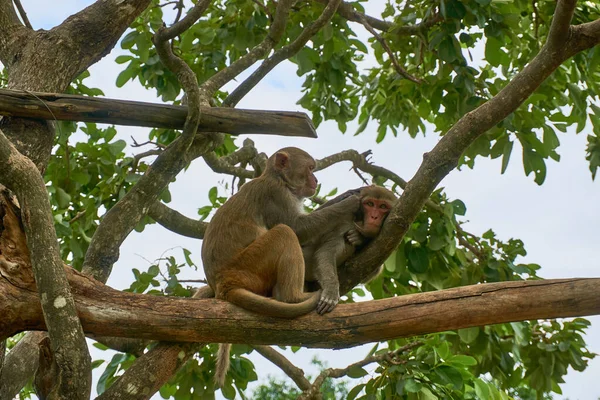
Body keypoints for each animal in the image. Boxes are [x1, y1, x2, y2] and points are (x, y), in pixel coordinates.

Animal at [202, 147, 360, 388]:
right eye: (310, 168)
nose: (315, 179)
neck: (279, 179)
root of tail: (223, 282)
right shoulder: (276, 195)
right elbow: (298, 228)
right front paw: (349, 203)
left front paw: (344, 196)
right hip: (250, 264)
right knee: (284, 232)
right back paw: (293, 297)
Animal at [302, 186, 396, 314]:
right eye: (370, 204)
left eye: (383, 206)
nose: (374, 217)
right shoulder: (345, 215)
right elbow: (326, 252)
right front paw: (331, 290)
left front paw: (360, 238)